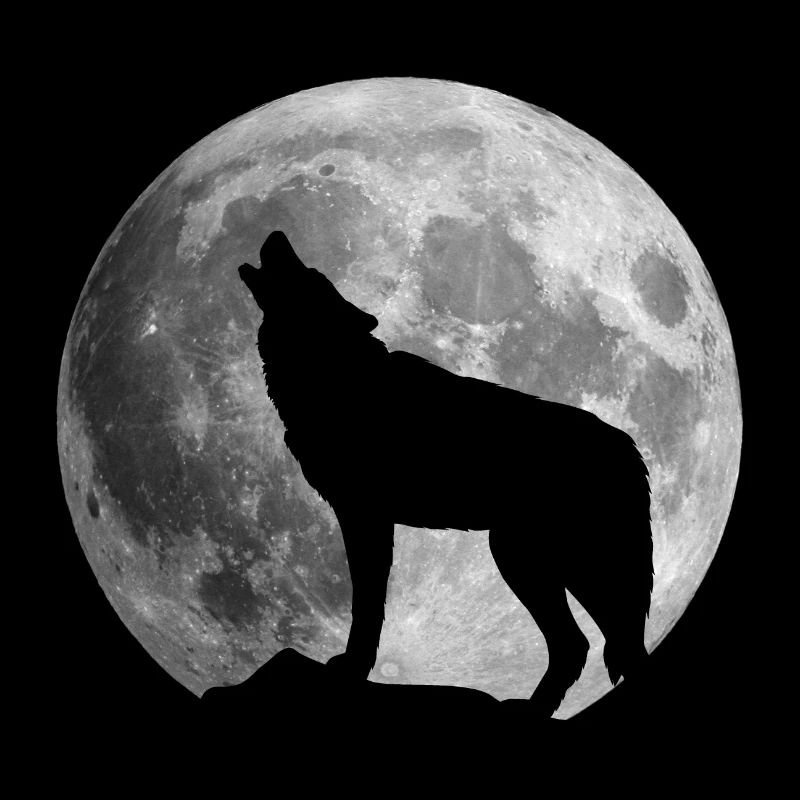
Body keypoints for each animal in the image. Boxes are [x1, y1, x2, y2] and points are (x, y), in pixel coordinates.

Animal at [239, 230, 653, 717]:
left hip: (543, 560)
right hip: (544, 561)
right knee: (590, 646)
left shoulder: (365, 516)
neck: (341, 374)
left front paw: (353, 667)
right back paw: (532, 708)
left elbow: (367, 606)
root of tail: (629, 447)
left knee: (603, 646)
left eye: (311, 275)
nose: (277, 234)